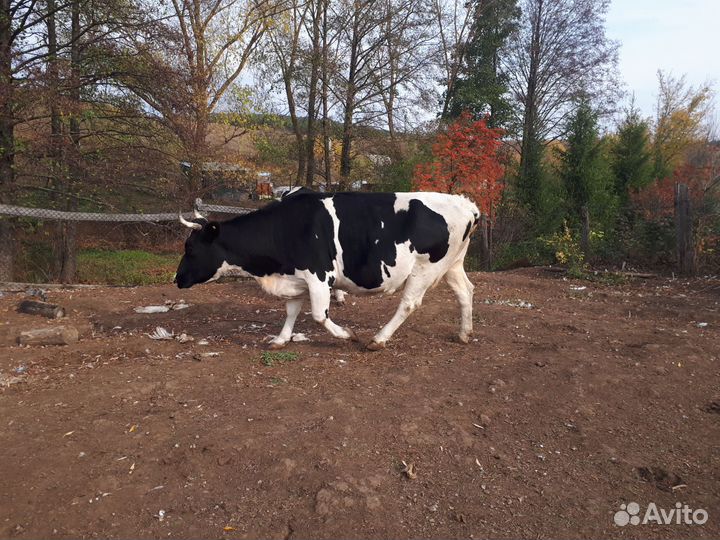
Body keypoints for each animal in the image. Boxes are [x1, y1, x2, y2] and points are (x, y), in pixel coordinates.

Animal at [175, 192, 479, 350]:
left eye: (190, 248)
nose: (177, 278)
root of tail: (466, 203)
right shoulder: (295, 276)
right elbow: (291, 310)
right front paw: (281, 339)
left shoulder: (319, 275)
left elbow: (319, 315)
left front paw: (347, 334)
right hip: (453, 265)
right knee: (466, 292)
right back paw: (464, 333)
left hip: (424, 269)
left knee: (409, 303)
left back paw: (378, 339)